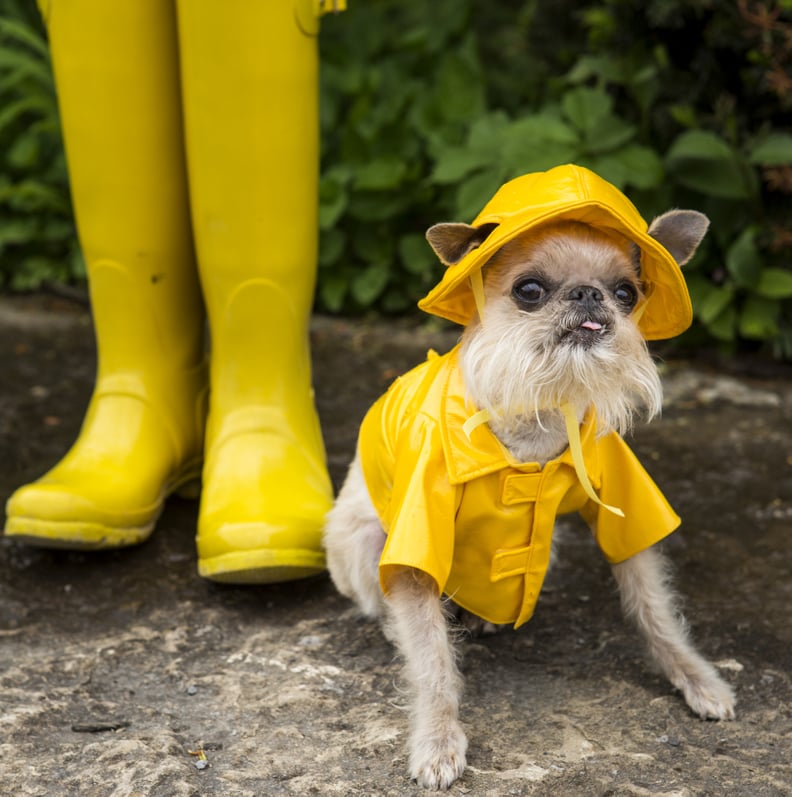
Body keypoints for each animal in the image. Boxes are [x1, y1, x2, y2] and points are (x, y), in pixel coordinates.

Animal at [322, 166, 736, 788]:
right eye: (530, 290)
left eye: (626, 293)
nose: (589, 294)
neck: (539, 409)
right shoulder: (416, 552)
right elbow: (432, 660)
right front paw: (438, 740)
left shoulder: (623, 512)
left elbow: (655, 610)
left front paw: (696, 677)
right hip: (366, 543)